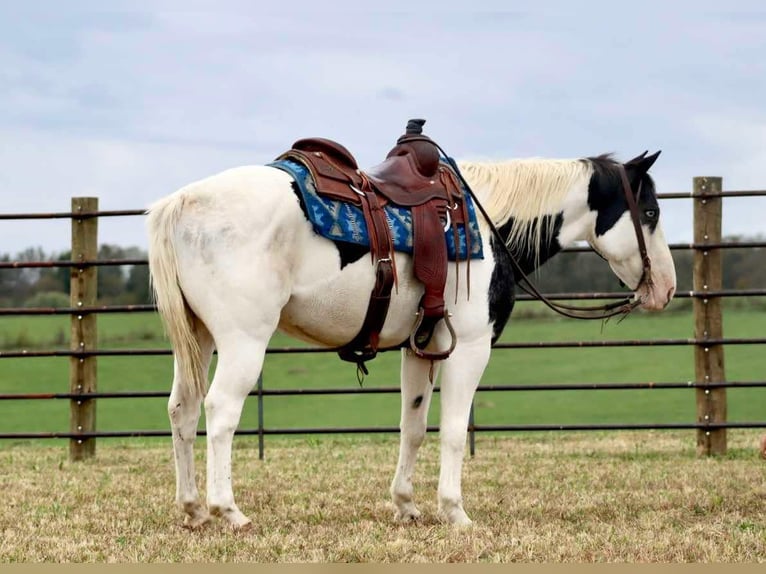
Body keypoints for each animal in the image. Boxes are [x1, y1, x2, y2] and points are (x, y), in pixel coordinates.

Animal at [146, 147, 676, 529]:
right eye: (649, 212)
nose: (666, 289)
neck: (486, 225)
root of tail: (181, 203)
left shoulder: (420, 348)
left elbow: (414, 427)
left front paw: (406, 505)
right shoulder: (470, 346)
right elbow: (455, 431)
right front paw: (456, 512)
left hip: (199, 338)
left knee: (182, 410)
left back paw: (193, 509)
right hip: (244, 340)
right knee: (220, 412)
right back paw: (229, 511)